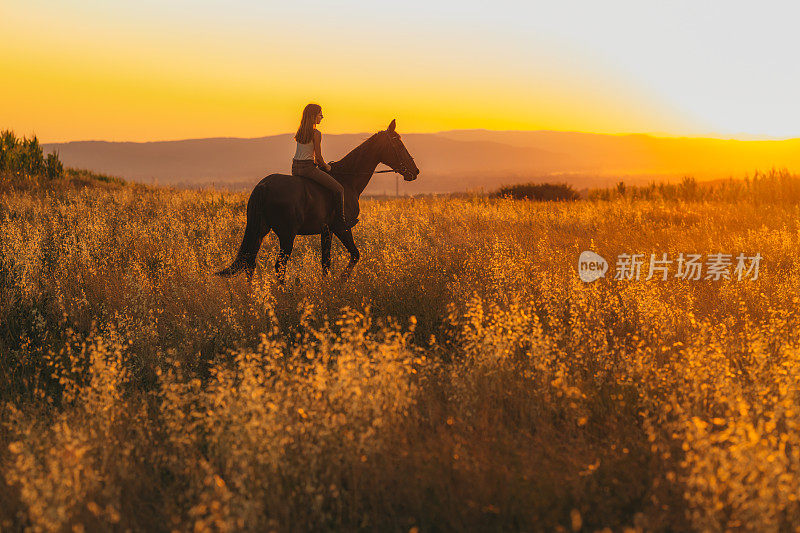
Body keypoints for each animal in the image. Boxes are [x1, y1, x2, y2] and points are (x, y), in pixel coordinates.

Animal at [216, 120, 422, 282]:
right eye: (398, 144)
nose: (415, 171)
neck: (347, 180)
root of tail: (264, 185)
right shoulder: (341, 228)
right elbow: (355, 255)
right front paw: (341, 281)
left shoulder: (327, 230)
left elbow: (326, 262)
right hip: (286, 235)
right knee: (278, 266)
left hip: (260, 231)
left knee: (250, 262)